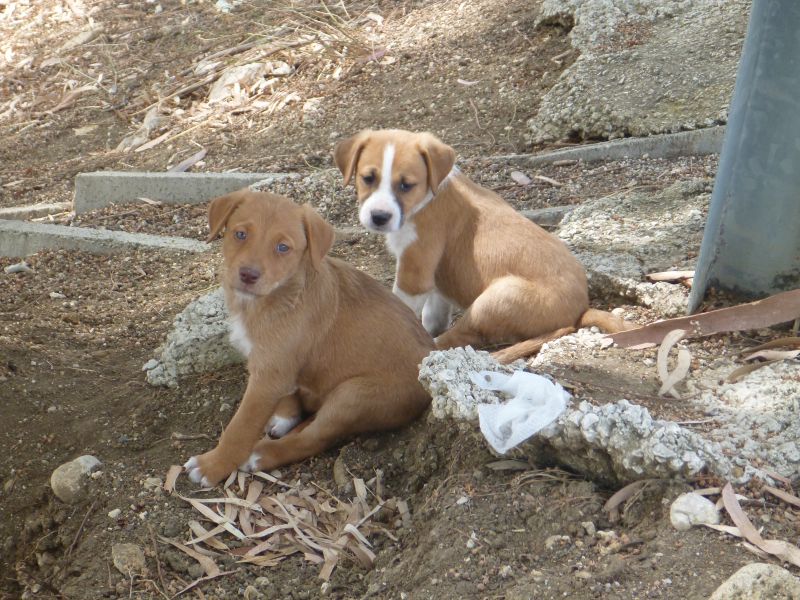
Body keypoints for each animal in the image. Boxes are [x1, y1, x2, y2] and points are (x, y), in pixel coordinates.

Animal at [184, 190, 434, 486]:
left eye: (283, 248)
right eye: (240, 234)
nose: (247, 275)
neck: (273, 299)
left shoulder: (268, 376)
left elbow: (240, 428)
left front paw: (212, 465)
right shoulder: (276, 367)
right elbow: (289, 391)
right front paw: (284, 415)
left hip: (353, 395)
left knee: (316, 438)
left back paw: (262, 454)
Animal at [332, 129, 632, 364]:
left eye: (406, 185)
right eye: (368, 178)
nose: (379, 217)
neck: (427, 196)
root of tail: (581, 310)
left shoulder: (414, 273)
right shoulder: (435, 283)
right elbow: (433, 314)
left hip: (496, 298)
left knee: (460, 336)